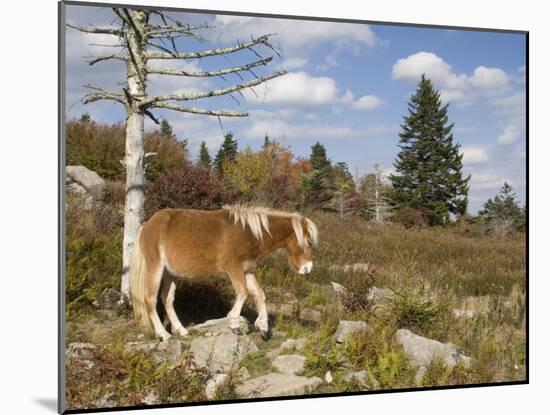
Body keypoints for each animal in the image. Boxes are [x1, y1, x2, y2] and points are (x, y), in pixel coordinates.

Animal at [130, 205, 320, 342]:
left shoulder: (247, 271)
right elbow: (243, 293)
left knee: (167, 299)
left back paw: (181, 330)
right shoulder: (233, 269)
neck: (249, 233)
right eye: (309, 242)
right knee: (150, 299)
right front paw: (233, 323)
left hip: (171, 274)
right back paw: (163, 334)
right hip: (155, 267)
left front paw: (263, 327)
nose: (308, 268)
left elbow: (259, 294)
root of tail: (147, 225)